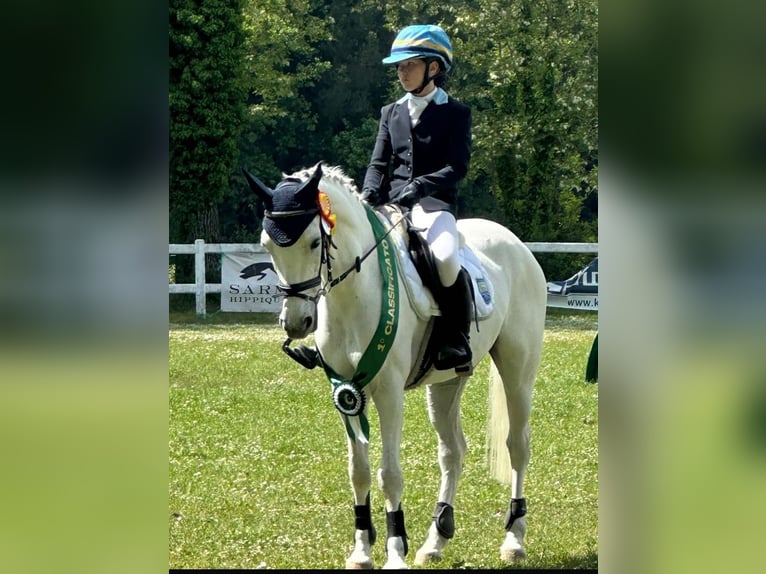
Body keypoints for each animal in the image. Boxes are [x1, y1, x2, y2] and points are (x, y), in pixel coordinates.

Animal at [243, 162, 547, 569]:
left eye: (313, 243)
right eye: (267, 245)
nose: (296, 323)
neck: (352, 295)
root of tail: (515, 242)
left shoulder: (387, 392)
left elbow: (389, 473)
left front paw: (394, 552)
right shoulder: (345, 391)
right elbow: (358, 471)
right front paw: (360, 551)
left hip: (518, 368)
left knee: (517, 444)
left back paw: (513, 539)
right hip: (446, 382)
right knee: (452, 451)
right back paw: (436, 540)